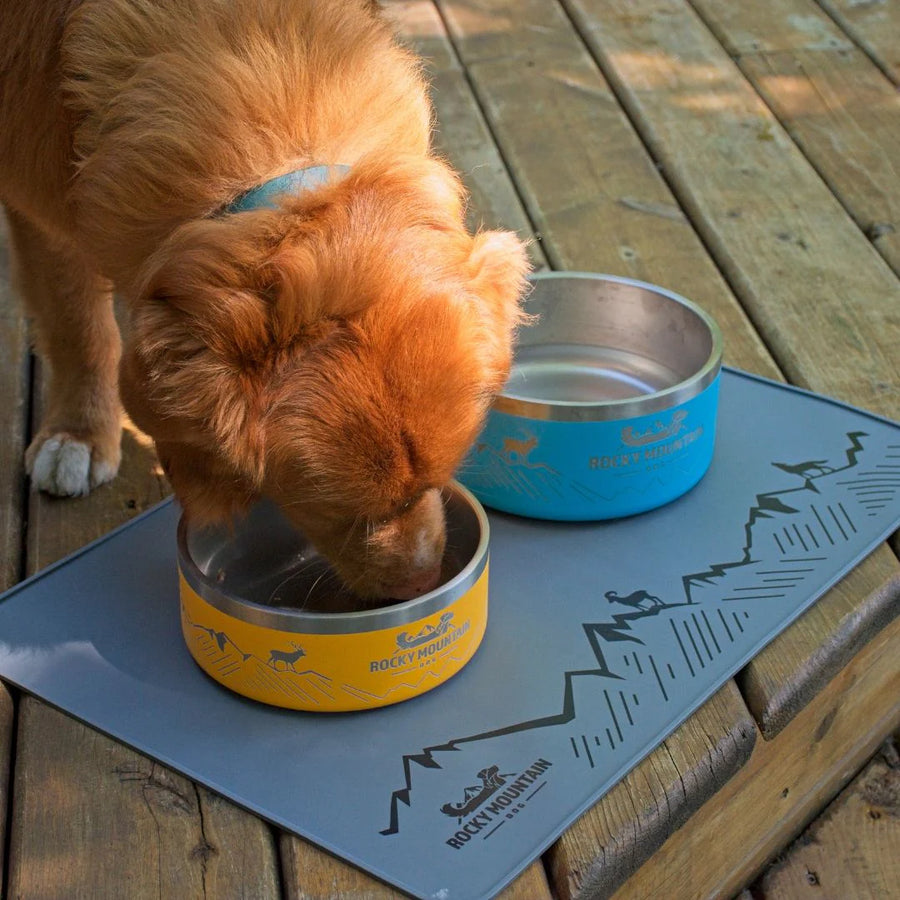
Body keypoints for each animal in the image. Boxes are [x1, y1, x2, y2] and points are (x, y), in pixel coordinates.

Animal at [0, 5, 528, 604]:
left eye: (440, 480)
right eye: (346, 515)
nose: (422, 584)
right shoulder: (37, 204)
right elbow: (76, 324)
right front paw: (80, 432)